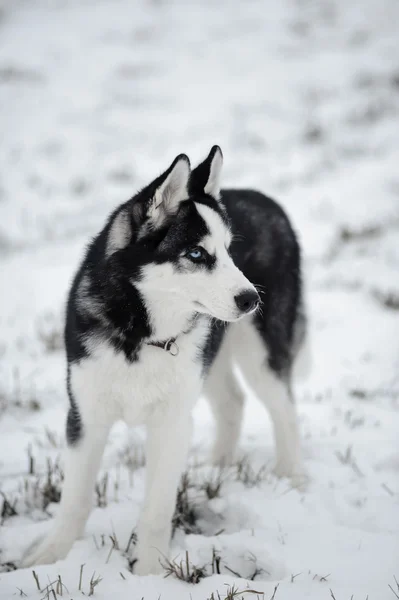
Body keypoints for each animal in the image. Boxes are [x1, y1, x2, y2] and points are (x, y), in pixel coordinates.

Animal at [21, 146, 306, 576]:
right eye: (196, 253)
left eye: (229, 250)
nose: (251, 299)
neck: (142, 335)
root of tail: (265, 198)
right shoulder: (85, 415)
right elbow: (74, 498)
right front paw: (53, 554)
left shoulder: (171, 423)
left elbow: (157, 508)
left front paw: (150, 573)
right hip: (210, 354)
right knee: (232, 402)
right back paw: (218, 467)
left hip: (259, 354)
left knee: (284, 409)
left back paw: (290, 477)